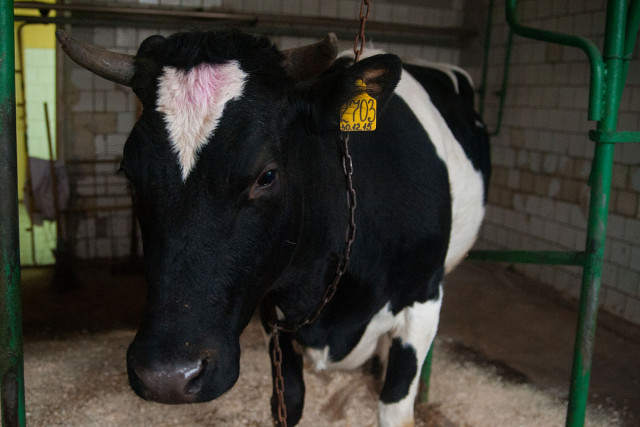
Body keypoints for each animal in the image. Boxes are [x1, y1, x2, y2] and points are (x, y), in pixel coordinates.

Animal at [57, 29, 490, 427]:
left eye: (266, 176)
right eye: (129, 174)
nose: (166, 377)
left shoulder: (423, 298)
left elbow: (394, 407)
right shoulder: (274, 316)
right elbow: (288, 402)